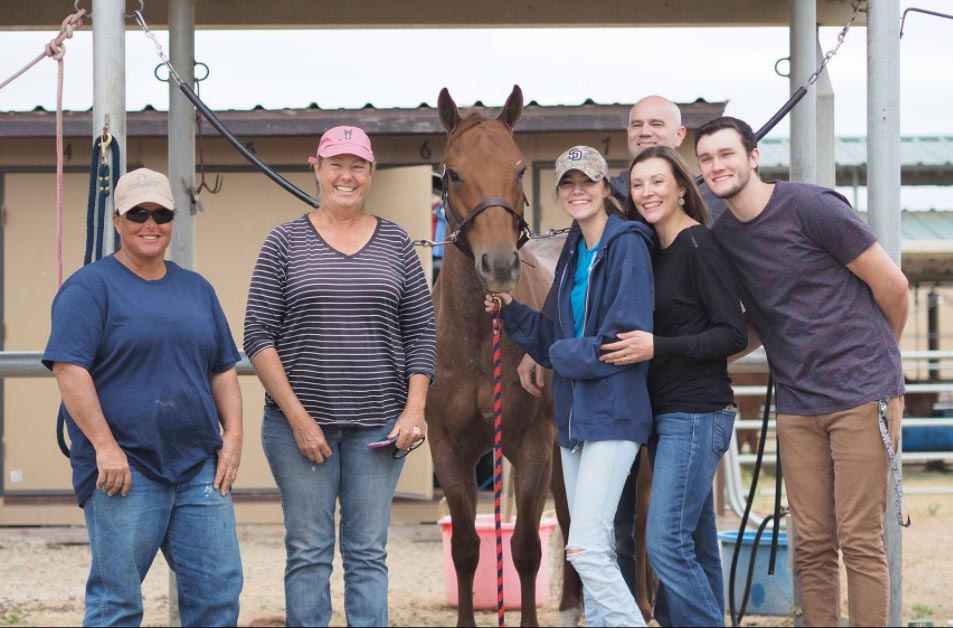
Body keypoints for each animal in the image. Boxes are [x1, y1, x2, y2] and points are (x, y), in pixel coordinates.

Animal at [428, 84, 584, 628]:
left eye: (518, 170)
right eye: (452, 173)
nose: (498, 265)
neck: (479, 344)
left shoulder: (532, 444)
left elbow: (524, 549)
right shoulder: (449, 451)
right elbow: (467, 549)